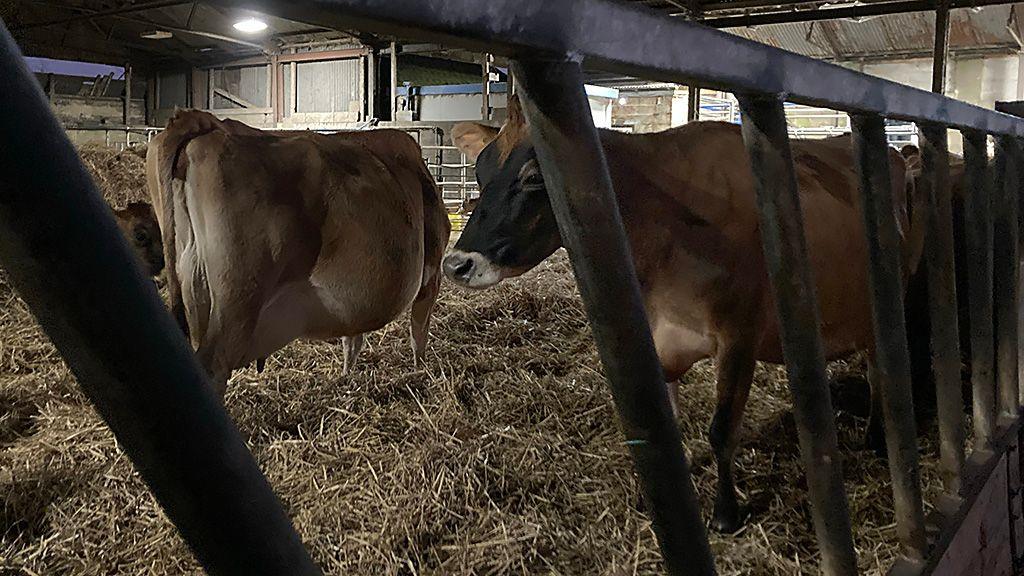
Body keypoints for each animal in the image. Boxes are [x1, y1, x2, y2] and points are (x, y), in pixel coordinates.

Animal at [146, 109, 450, 391]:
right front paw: (420, 371)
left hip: (194, 285)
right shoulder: (432, 272)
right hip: (239, 295)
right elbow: (419, 331)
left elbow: (352, 338)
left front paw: (346, 375)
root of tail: (203, 120)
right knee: (214, 366)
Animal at [444, 96, 925, 532]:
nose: (456, 264)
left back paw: (876, 439)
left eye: (531, 178)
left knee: (880, 370)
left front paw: (726, 513)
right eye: (480, 171)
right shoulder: (658, 338)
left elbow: (722, 430)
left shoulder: (739, 337)